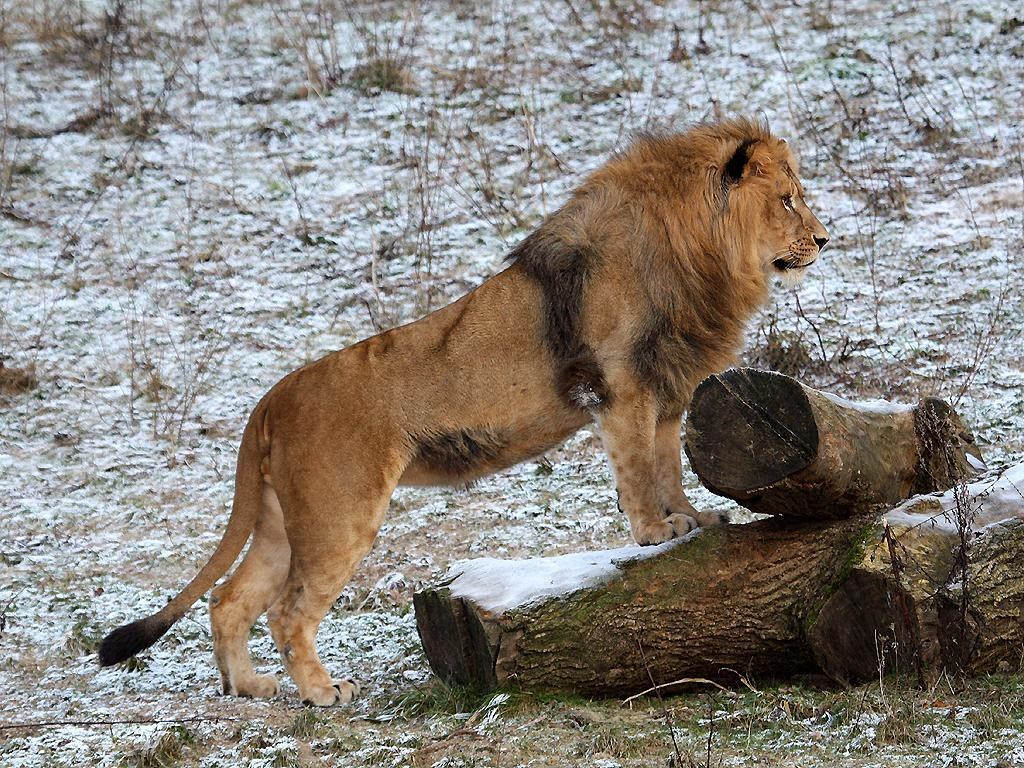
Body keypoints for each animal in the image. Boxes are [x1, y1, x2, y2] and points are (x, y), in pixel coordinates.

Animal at [98, 118, 829, 706]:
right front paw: (656, 532)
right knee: (287, 611)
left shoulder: (668, 388)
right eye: (788, 199)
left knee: (229, 600)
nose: (824, 239)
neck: (700, 252)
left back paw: (249, 687)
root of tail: (271, 399)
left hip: (283, 521)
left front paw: (693, 518)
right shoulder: (621, 387)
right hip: (339, 516)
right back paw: (323, 692)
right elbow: (638, 470)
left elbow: (668, 462)